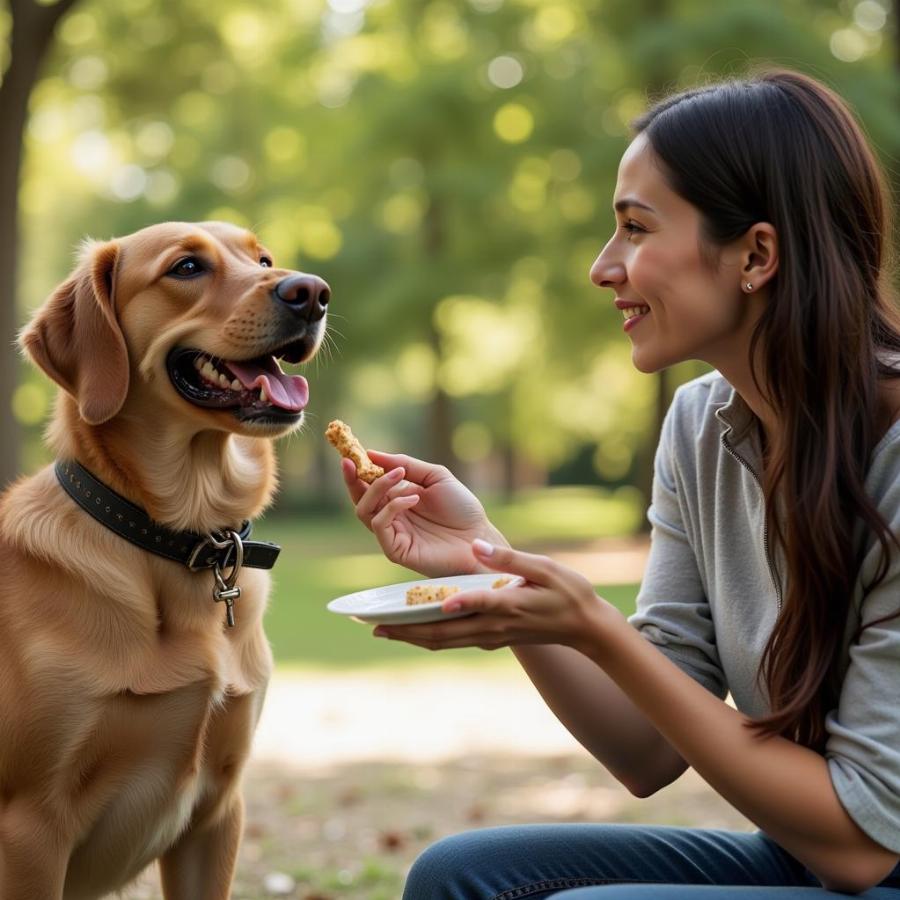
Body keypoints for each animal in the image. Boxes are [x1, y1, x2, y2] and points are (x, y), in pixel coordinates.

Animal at [0, 221, 330, 896]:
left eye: (264, 260)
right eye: (185, 268)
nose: (312, 292)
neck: (187, 542)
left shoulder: (218, 811)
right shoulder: (29, 827)